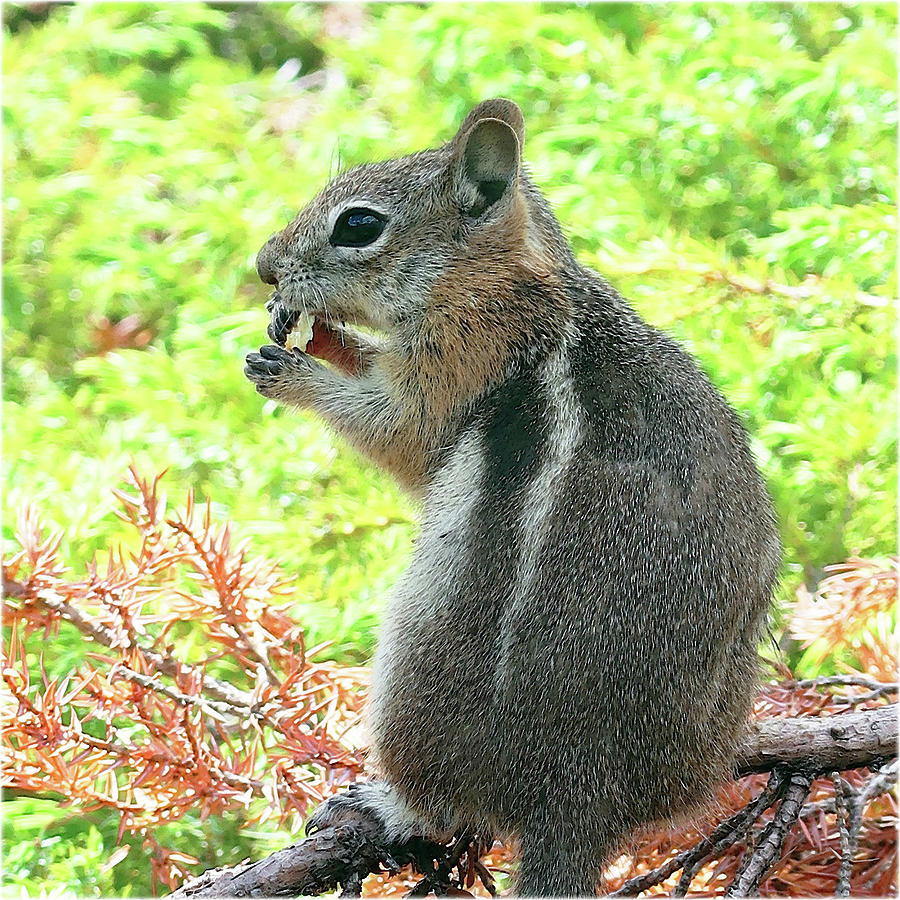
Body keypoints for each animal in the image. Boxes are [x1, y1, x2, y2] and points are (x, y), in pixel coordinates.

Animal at [246, 96, 780, 892]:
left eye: (358, 226)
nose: (263, 265)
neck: (526, 285)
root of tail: (576, 793)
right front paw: (324, 337)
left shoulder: (460, 360)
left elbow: (400, 432)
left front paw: (300, 367)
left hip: (409, 677)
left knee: (437, 803)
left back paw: (379, 804)